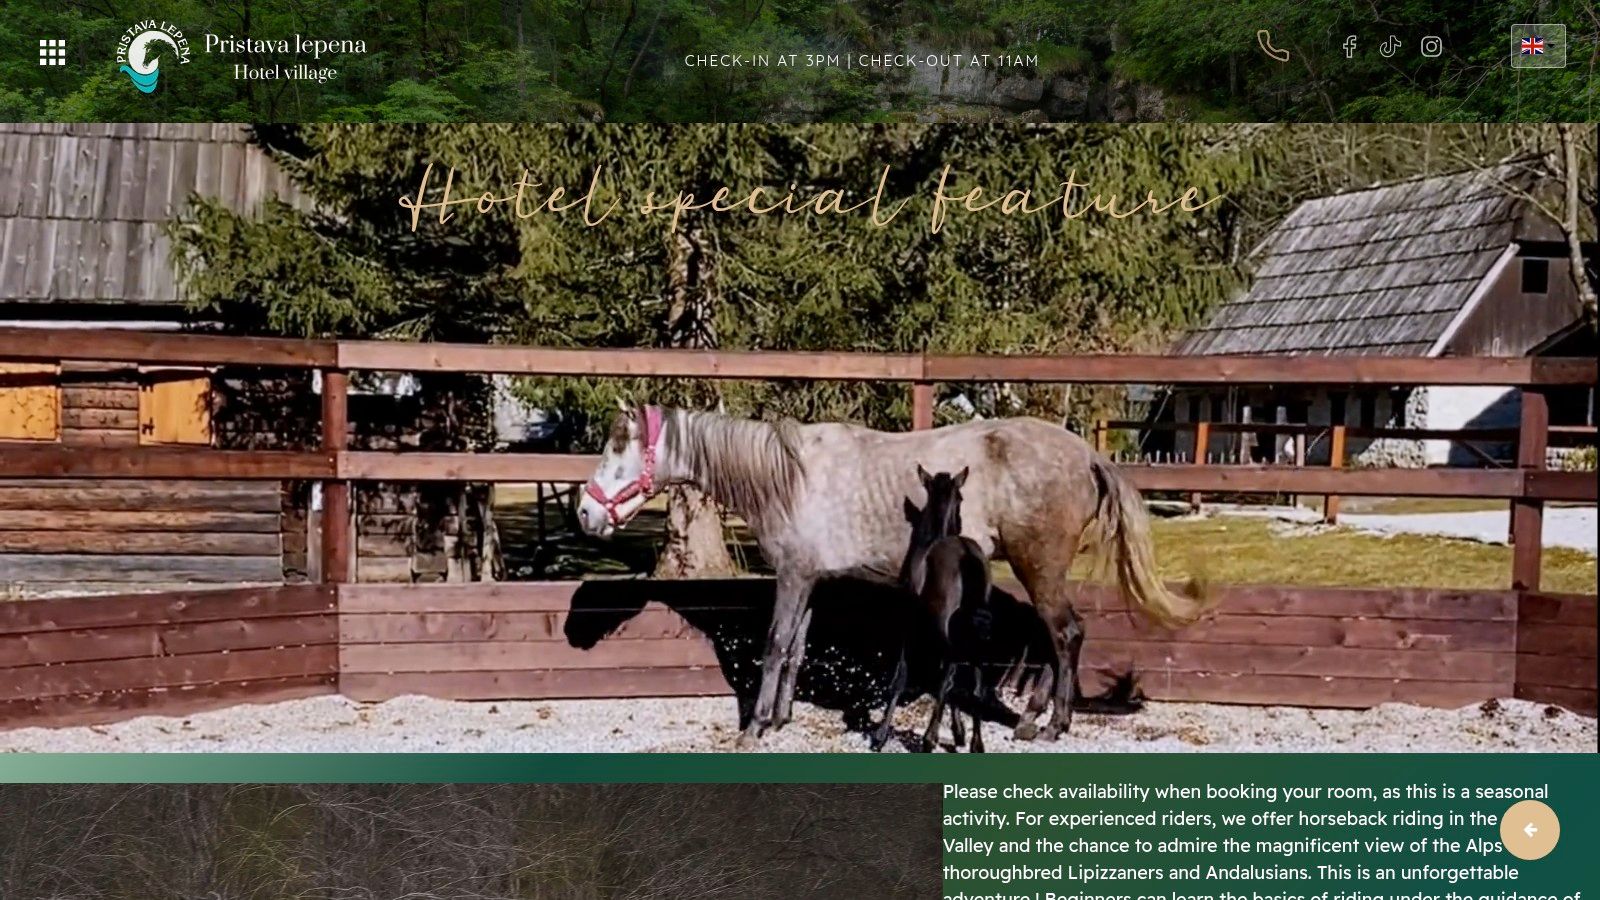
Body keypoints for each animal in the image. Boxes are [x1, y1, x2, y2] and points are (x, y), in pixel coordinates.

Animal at [577, 403, 1203, 744]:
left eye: (616, 451)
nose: (585, 513)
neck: (788, 476)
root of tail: (1088, 455)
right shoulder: (811, 579)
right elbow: (797, 649)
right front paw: (781, 718)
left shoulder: (793, 576)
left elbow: (775, 645)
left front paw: (754, 726)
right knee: (1053, 637)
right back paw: (1034, 719)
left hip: (1038, 564)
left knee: (1065, 633)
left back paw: (1050, 724)